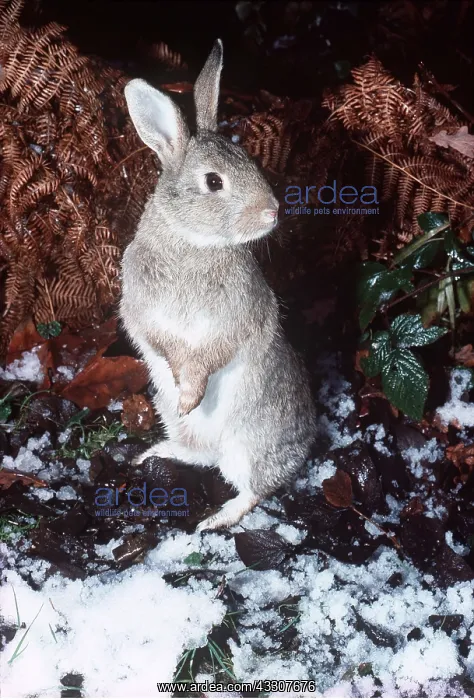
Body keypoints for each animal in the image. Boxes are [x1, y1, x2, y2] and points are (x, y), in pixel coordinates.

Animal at [120, 39, 316, 532]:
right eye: (213, 181)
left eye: (252, 161)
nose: (272, 211)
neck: (194, 241)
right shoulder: (145, 314)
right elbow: (165, 345)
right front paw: (187, 394)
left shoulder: (234, 319)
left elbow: (212, 352)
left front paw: (191, 392)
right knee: (199, 455)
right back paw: (153, 453)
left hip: (249, 442)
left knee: (253, 489)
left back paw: (213, 520)